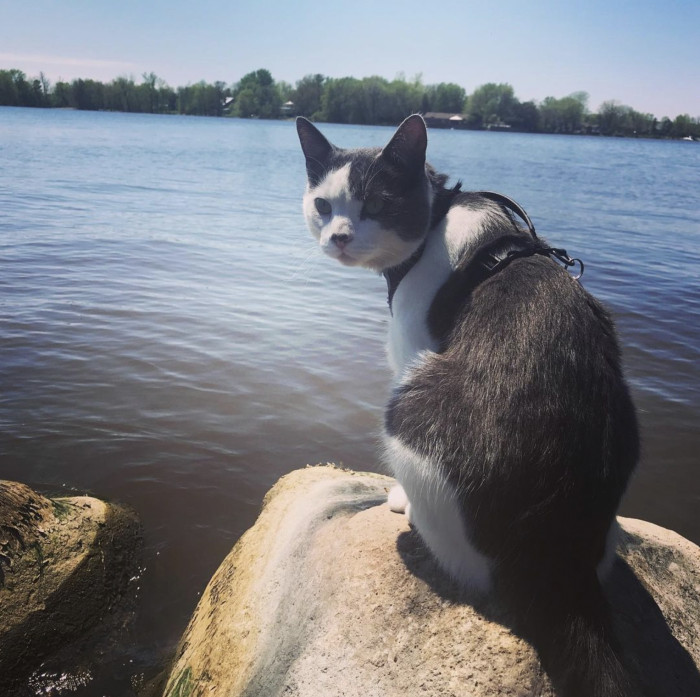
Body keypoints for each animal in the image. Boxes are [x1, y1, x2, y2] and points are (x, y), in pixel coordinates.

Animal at [296, 114, 640, 696]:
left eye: (377, 203)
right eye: (323, 204)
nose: (338, 235)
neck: (437, 217)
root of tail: (559, 565)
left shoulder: (411, 343)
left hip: (410, 409)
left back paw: (412, 521)